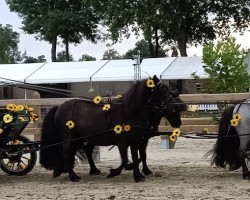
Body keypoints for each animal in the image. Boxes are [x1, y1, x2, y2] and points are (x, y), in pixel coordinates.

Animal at [39, 75, 184, 181]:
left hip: (80, 138)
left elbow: (137, 157)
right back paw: (73, 177)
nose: (178, 107)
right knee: (67, 154)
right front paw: (114, 172)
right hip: (70, 138)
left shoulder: (136, 140)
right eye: (163, 90)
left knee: (81, 152)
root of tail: (59, 107)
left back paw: (90, 170)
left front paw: (138, 175)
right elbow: (126, 160)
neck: (129, 111)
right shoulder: (123, 141)